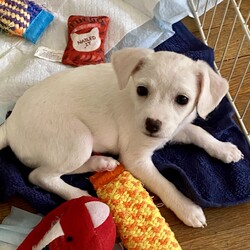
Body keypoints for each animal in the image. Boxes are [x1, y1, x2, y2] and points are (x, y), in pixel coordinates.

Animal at [0, 47, 242, 228]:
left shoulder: (174, 128)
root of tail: (9, 124)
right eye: (142, 90)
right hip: (78, 140)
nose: (151, 124)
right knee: (39, 176)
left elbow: (199, 132)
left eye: (183, 99)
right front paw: (187, 208)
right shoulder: (136, 159)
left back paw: (101, 162)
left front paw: (224, 148)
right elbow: (165, 184)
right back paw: (78, 194)